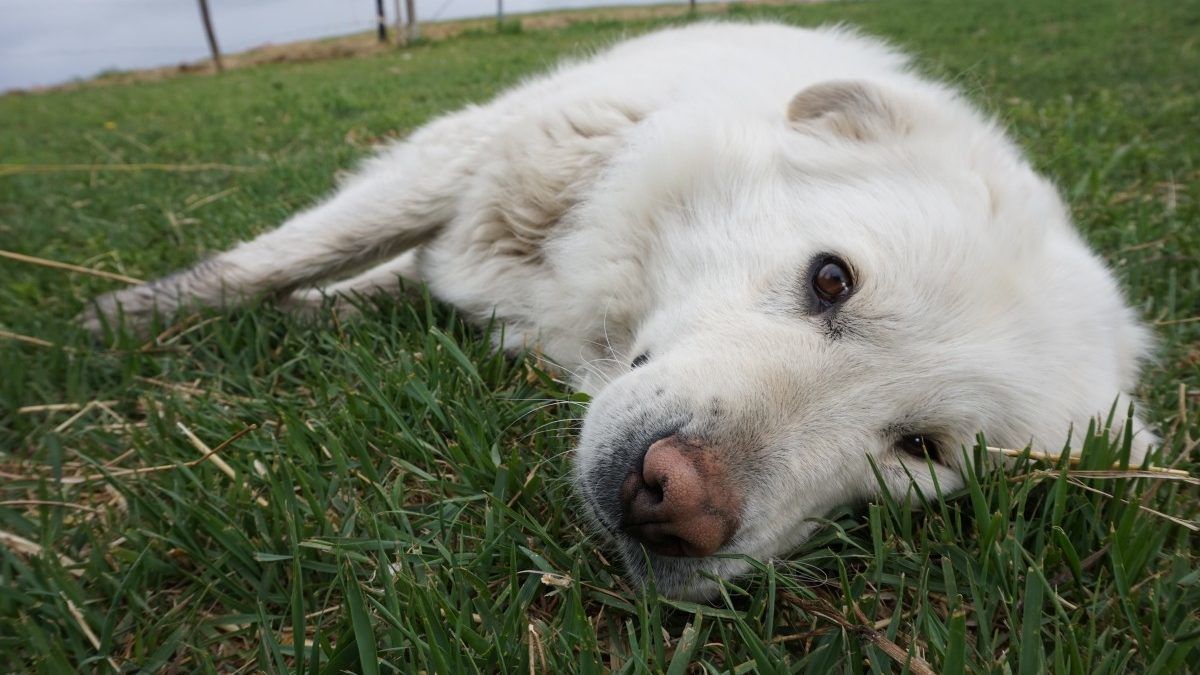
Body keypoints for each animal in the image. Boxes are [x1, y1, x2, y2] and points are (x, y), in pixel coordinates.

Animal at [82, 23, 1152, 595]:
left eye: (923, 451)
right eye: (831, 279)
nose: (676, 505)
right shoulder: (473, 159)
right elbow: (276, 256)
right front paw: (126, 319)